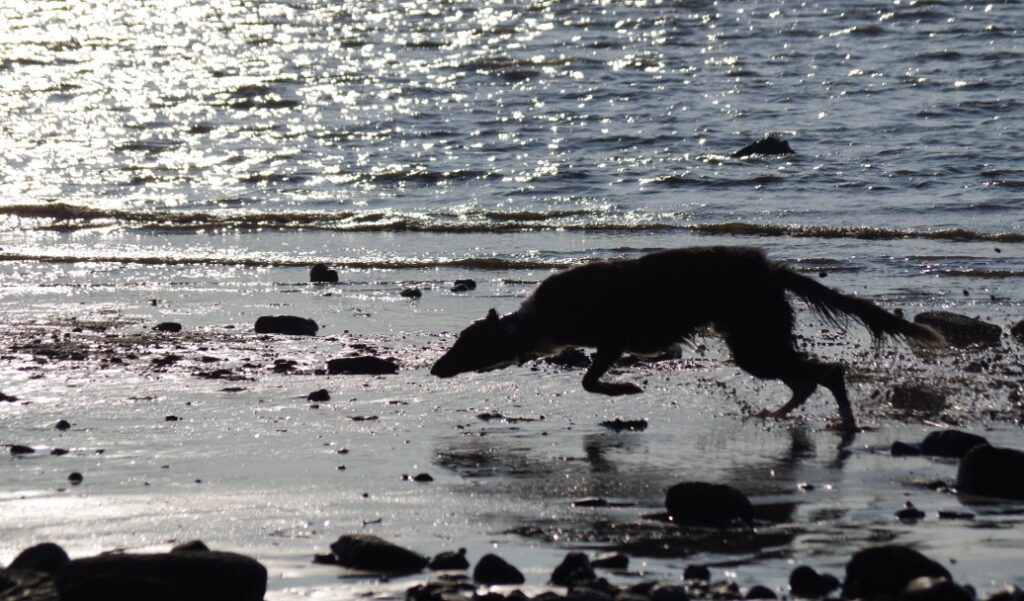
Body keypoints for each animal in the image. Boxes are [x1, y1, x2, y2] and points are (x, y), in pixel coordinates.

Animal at [428, 246, 937, 430]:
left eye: (464, 345)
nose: (434, 368)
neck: (535, 320)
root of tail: (771, 269)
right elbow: (589, 379)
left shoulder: (613, 340)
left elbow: (591, 381)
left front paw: (626, 388)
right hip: (754, 346)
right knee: (808, 380)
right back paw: (777, 414)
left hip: (755, 346)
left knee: (826, 373)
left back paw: (842, 422)